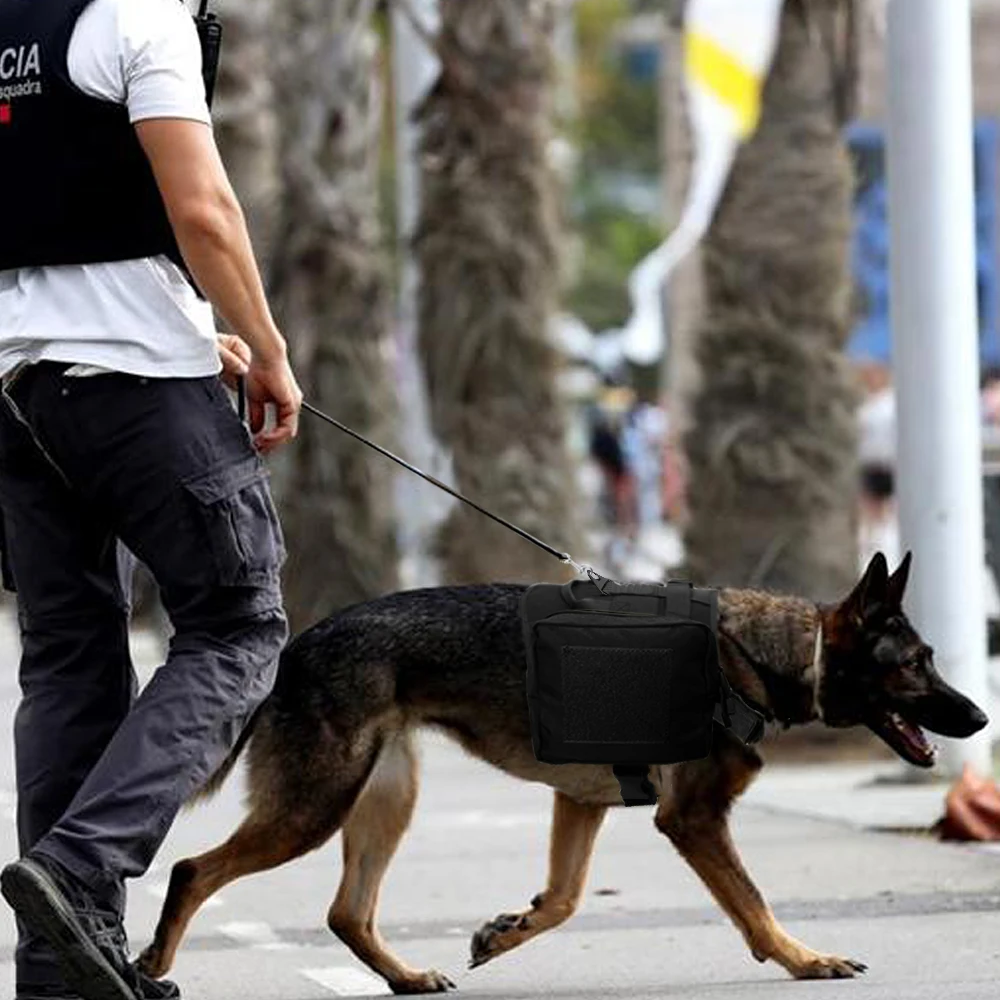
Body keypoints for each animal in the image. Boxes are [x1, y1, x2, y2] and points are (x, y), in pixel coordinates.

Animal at [139, 556, 984, 992]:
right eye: (915, 665)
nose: (980, 719)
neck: (763, 651)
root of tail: (296, 647)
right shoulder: (693, 820)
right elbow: (752, 902)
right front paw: (805, 960)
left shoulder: (580, 803)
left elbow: (568, 898)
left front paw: (506, 931)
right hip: (315, 808)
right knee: (190, 870)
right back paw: (150, 968)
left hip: (385, 798)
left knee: (348, 913)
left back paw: (406, 977)